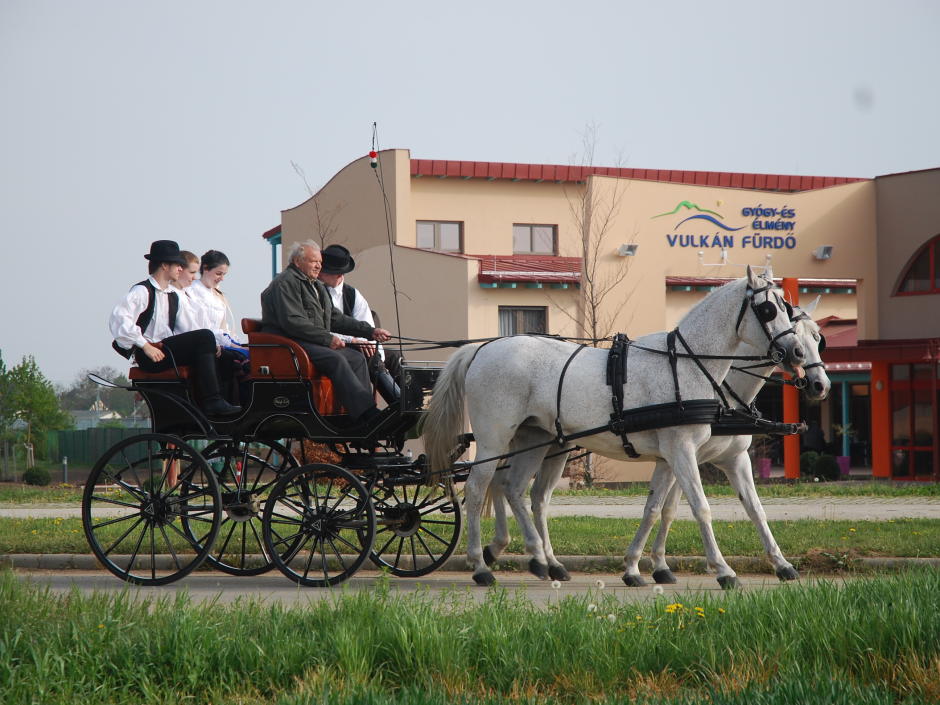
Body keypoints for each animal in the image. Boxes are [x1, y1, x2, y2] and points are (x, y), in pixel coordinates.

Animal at [424, 266, 800, 584]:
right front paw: (723, 570)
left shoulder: (671, 456)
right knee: (477, 490)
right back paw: (480, 565)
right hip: (494, 439)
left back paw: (545, 561)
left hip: (537, 439)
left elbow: (665, 509)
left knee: (516, 490)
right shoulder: (682, 450)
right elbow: (700, 508)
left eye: (788, 308)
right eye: (768, 309)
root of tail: (482, 349)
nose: (796, 352)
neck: (684, 365)